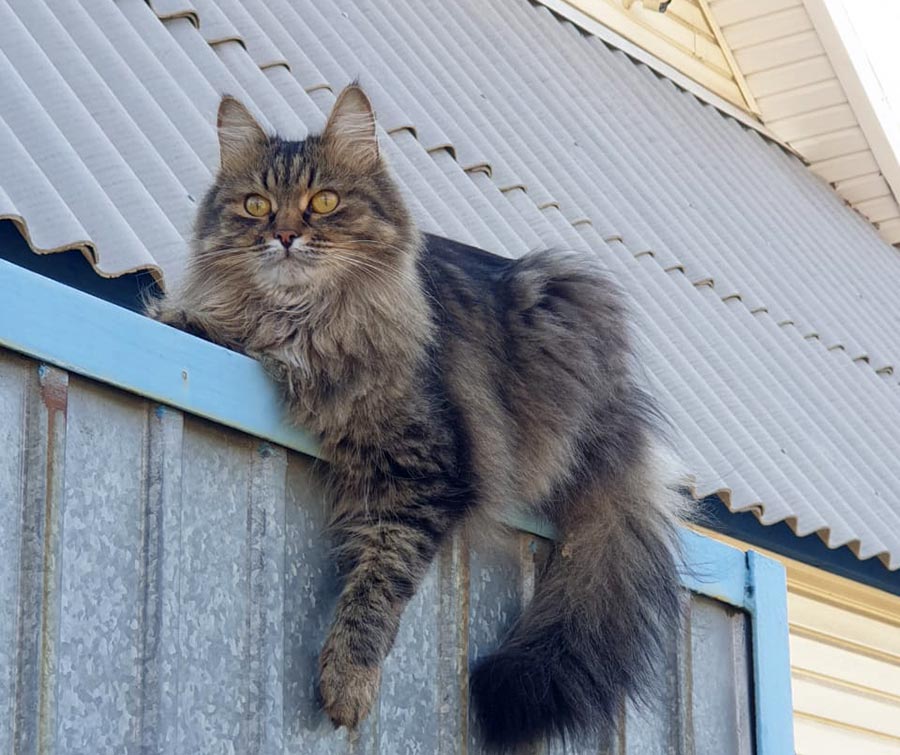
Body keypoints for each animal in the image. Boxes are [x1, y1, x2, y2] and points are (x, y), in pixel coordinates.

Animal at [148, 85, 684, 752]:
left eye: (324, 202)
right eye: (256, 205)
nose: (287, 235)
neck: (302, 323)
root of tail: (619, 395)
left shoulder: (425, 472)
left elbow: (378, 586)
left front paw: (348, 683)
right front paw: (180, 320)